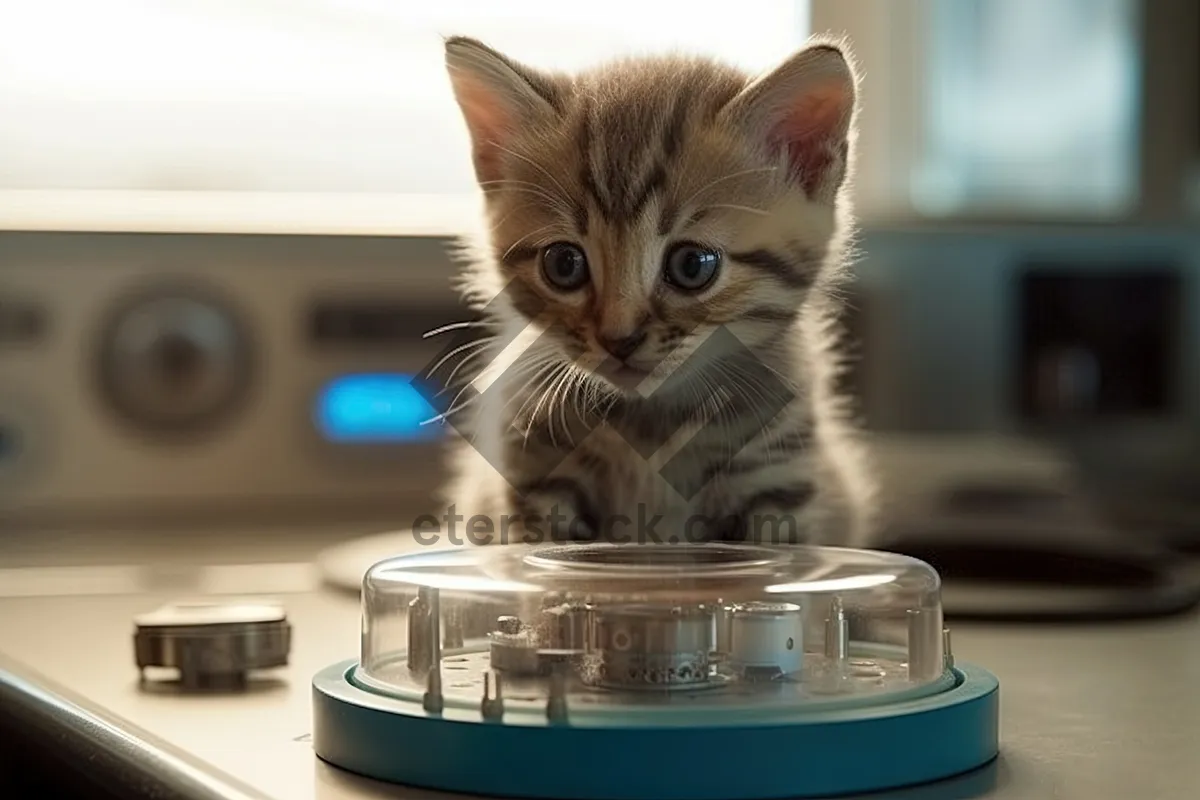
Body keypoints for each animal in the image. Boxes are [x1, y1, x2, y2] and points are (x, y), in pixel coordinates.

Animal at [427, 35, 878, 551]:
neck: (651, 424)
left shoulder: (775, 484)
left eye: (692, 266)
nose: (618, 339)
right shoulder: (534, 482)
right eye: (563, 265)